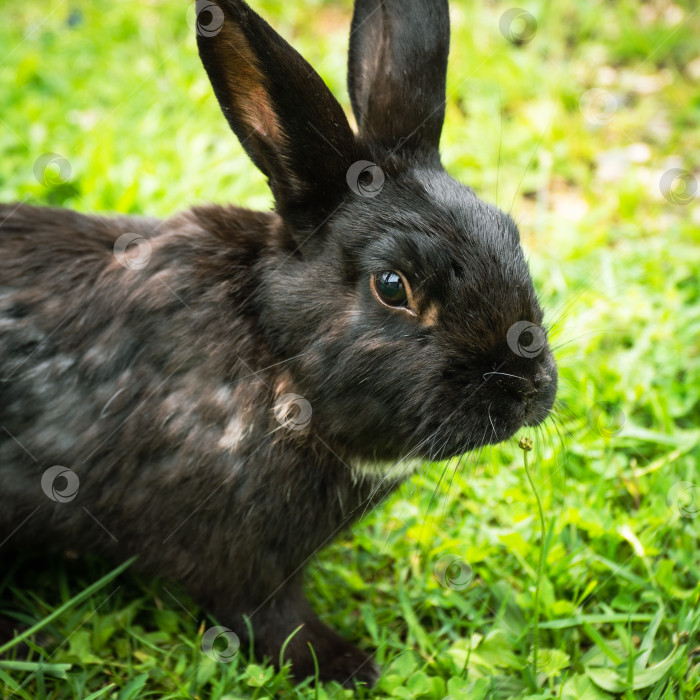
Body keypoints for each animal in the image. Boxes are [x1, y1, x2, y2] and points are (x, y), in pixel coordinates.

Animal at [0, 0, 556, 688]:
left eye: (509, 233)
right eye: (392, 285)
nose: (531, 387)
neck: (273, 348)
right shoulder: (238, 556)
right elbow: (270, 621)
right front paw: (347, 665)